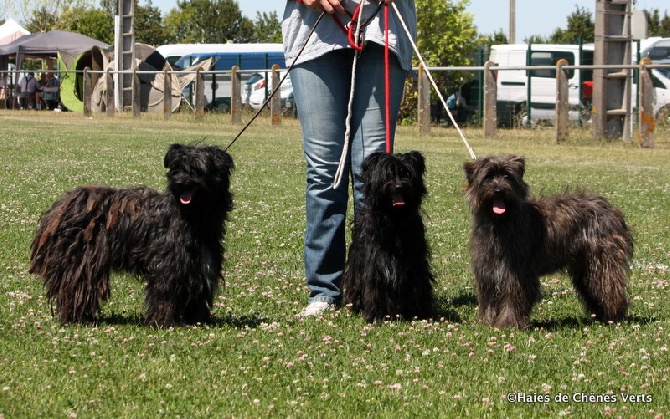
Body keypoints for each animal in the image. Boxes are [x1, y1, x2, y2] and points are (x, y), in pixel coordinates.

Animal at [29, 144, 236, 328]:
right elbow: (165, 292)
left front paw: (197, 320)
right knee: (76, 287)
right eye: (176, 168)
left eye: (196, 169)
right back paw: (76, 318)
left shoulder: (199, 264)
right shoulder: (168, 264)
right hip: (81, 261)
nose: (178, 183)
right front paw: (165, 322)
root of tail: (61, 206)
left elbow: (196, 292)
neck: (194, 217)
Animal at [344, 152, 434, 324]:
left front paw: (418, 313)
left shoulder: (415, 261)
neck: (394, 219)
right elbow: (375, 287)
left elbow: (418, 285)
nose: (399, 186)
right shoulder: (375, 262)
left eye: (407, 173)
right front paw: (376, 315)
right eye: (387, 174)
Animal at [464, 156, 632, 330]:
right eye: (488, 177)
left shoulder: (517, 274)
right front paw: (487, 323)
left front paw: (508, 324)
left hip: (602, 263)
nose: (499, 191)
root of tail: (611, 208)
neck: (499, 223)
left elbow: (513, 298)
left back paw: (613, 318)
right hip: (585, 269)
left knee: (611, 289)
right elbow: (488, 300)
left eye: (508, 176)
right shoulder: (487, 272)